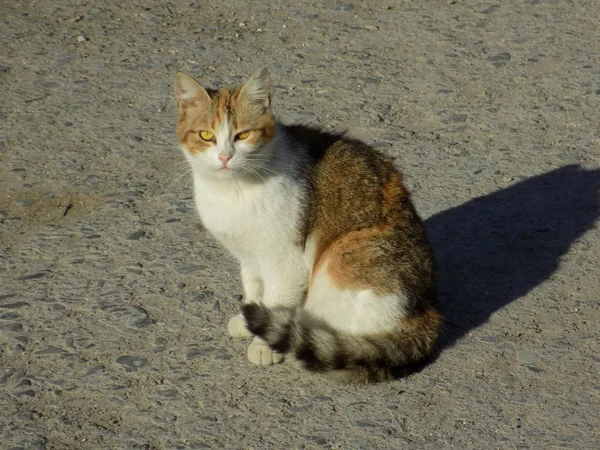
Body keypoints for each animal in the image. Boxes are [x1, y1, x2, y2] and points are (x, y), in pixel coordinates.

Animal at [173, 67, 440, 384]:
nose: (226, 157)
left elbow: (275, 300)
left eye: (243, 135)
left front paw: (264, 343)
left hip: (344, 257)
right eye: (206, 135)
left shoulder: (287, 261)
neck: (234, 190)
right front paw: (250, 318)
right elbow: (253, 286)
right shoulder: (248, 255)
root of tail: (426, 313)